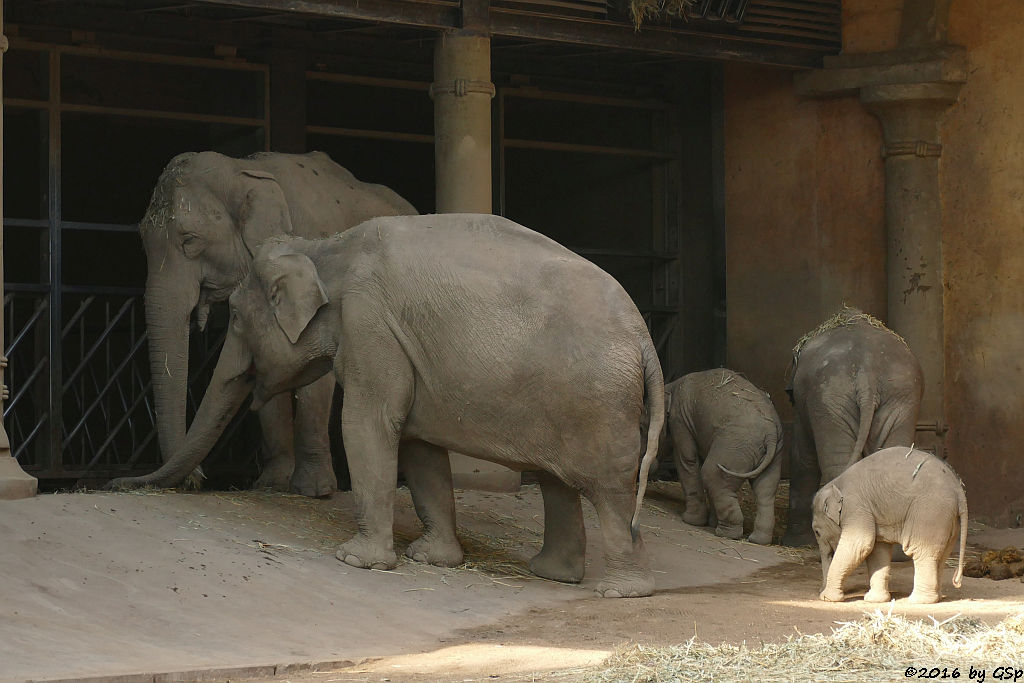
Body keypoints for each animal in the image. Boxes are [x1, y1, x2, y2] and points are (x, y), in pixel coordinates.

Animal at [114, 214, 663, 598]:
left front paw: (356, 562)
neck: (326, 246)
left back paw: (619, 590)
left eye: (236, 319)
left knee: (610, 490)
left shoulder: (369, 322)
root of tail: (644, 337)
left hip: (600, 404)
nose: (119, 483)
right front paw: (432, 559)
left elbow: (367, 423)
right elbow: (418, 446)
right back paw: (553, 575)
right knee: (556, 482)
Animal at [663, 366, 782, 548]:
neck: (672, 386)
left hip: (735, 446)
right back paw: (758, 540)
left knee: (712, 475)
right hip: (774, 454)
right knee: (766, 489)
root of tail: (770, 433)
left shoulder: (680, 419)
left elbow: (687, 459)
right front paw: (711, 522)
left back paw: (726, 533)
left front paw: (691, 521)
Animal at [778, 307, 925, 548]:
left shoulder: (805, 405)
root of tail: (868, 375)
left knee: (837, 466)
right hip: (899, 398)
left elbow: (802, 456)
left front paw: (794, 544)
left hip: (831, 398)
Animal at [815, 448, 966, 602]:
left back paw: (917, 600)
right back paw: (936, 597)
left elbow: (860, 544)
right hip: (949, 518)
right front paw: (874, 600)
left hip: (930, 511)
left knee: (920, 550)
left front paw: (826, 598)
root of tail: (958, 489)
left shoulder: (855, 507)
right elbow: (877, 548)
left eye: (817, 532)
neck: (836, 483)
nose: (820, 591)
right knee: (942, 554)